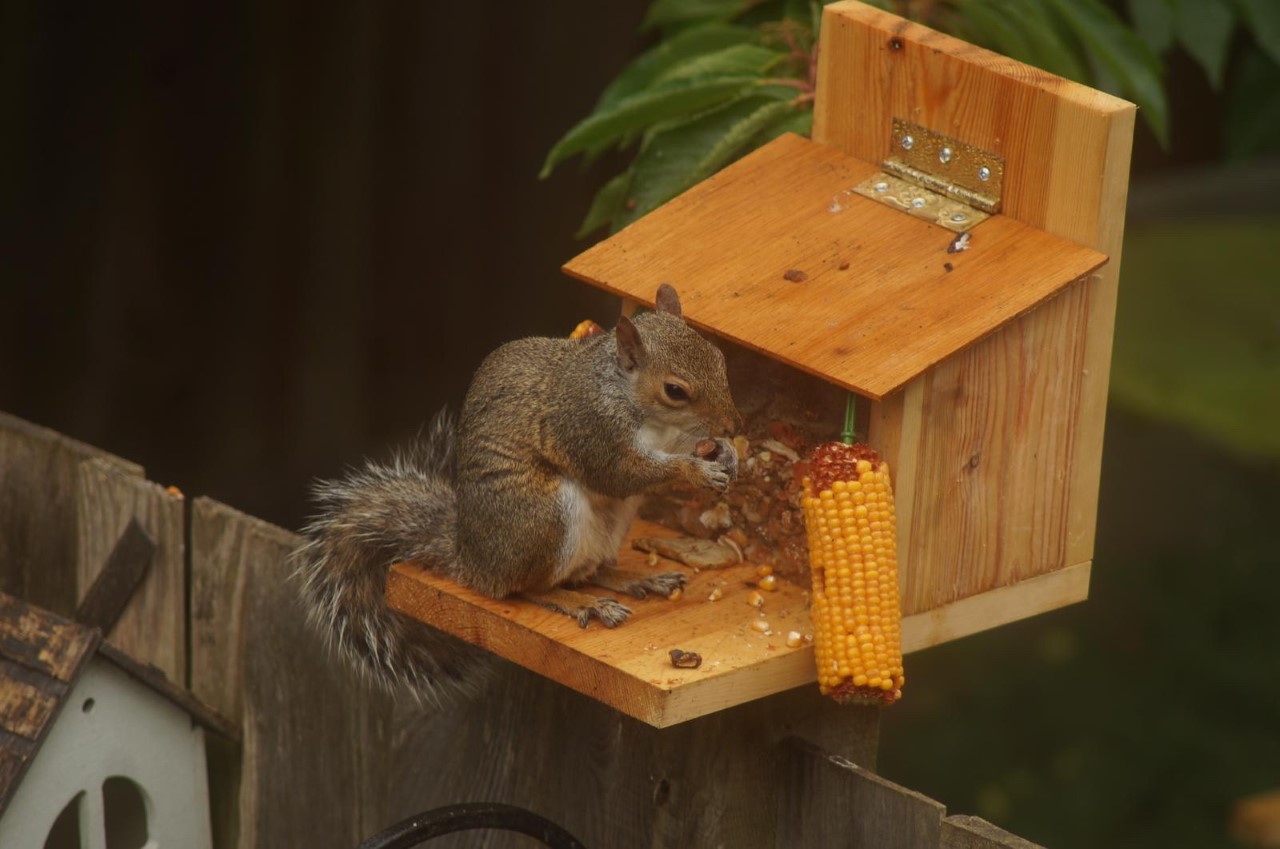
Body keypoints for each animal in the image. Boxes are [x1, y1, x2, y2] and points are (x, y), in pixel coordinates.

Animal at [291, 284, 740, 705]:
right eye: (675, 390)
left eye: (720, 358)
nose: (733, 425)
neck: (633, 401)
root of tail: (474, 564)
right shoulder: (588, 425)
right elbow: (620, 474)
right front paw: (695, 470)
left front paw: (727, 453)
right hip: (544, 518)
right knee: (529, 589)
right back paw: (583, 604)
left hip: (610, 526)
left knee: (589, 572)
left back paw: (636, 579)